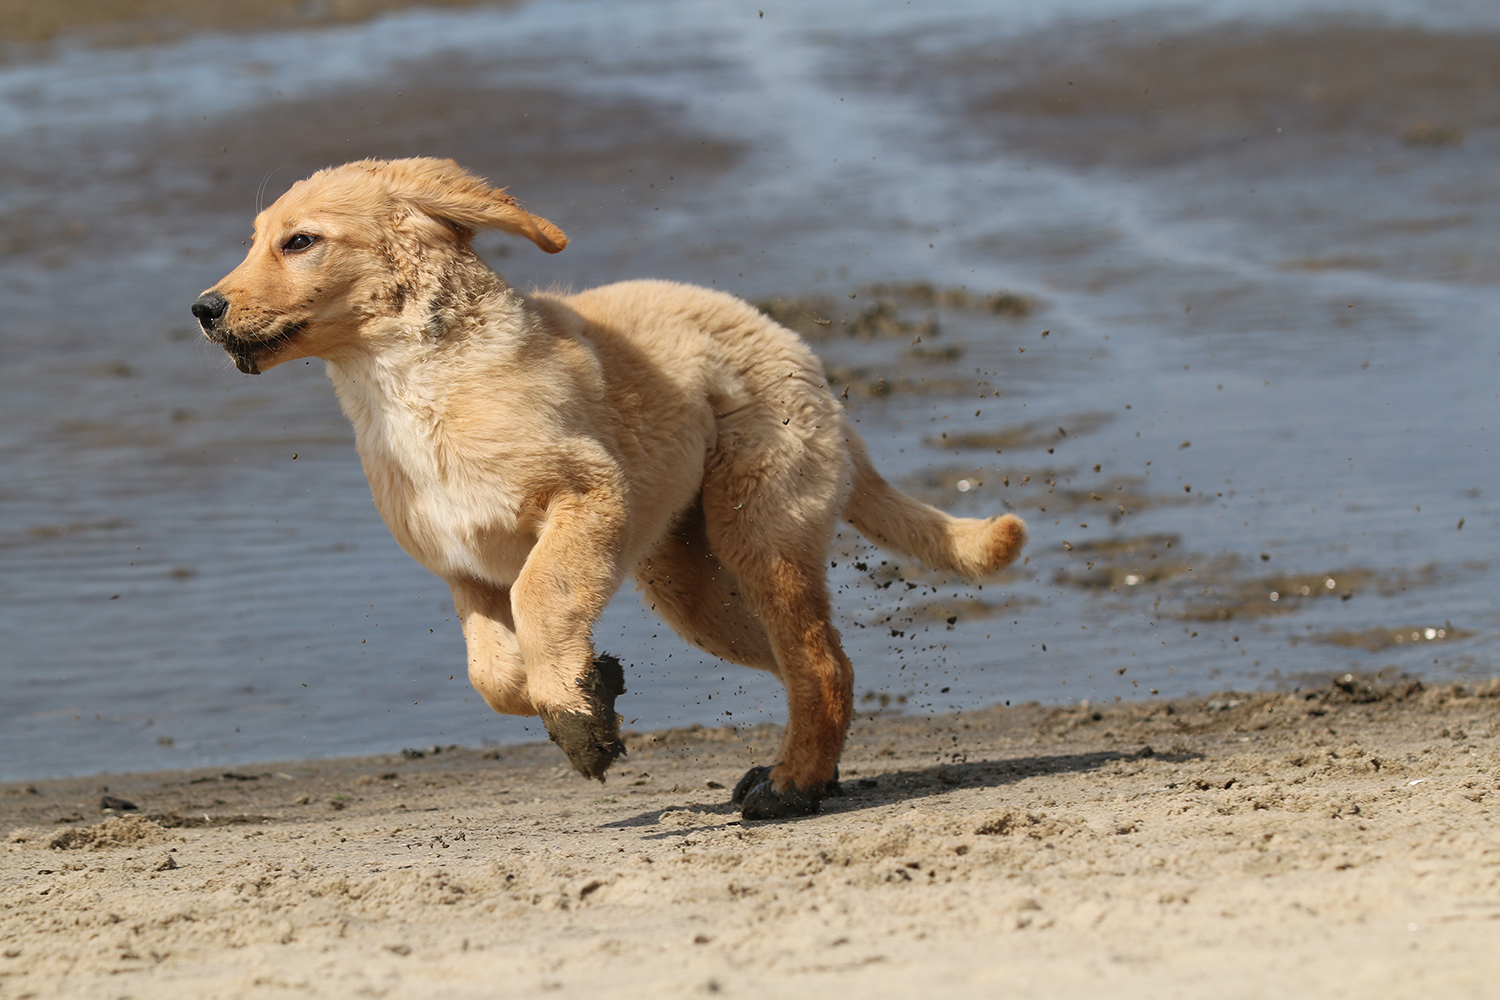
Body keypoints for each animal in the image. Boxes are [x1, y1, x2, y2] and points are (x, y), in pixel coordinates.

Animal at [192, 158, 1026, 818]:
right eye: (255, 239)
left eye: (299, 242)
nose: (203, 309)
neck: (413, 388)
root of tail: (799, 353)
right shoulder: (465, 569)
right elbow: (493, 673)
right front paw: (590, 701)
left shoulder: (587, 497)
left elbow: (539, 598)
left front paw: (574, 706)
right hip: (691, 587)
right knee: (818, 663)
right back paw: (800, 772)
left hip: (759, 529)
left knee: (819, 662)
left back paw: (790, 788)